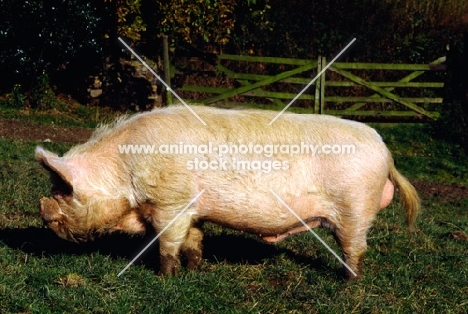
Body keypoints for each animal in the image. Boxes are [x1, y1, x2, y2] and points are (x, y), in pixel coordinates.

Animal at [34, 105, 418, 280]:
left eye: (64, 191)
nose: (42, 208)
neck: (123, 171)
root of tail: (386, 153)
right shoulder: (192, 209)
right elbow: (194, 239)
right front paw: (193, 269)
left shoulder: (170, 202)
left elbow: (167, 243)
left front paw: (166, 276)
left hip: (355, 208)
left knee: (356, 248)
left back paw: (348, 280)